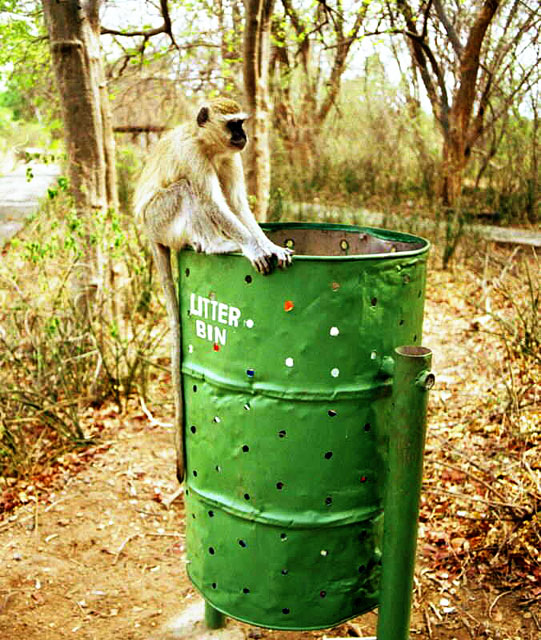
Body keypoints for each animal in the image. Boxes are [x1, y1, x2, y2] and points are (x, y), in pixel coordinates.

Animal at [135, 97, 294, 482]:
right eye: (233, 124)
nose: (244, 136)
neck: (207, 145)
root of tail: (147, 232)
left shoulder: (231, 158)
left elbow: (238, 206)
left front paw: (268, 244)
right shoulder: (193, 156)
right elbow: (213, 204)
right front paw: (252, 247)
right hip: (158, 219)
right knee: (186, 191)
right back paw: (217, 244)